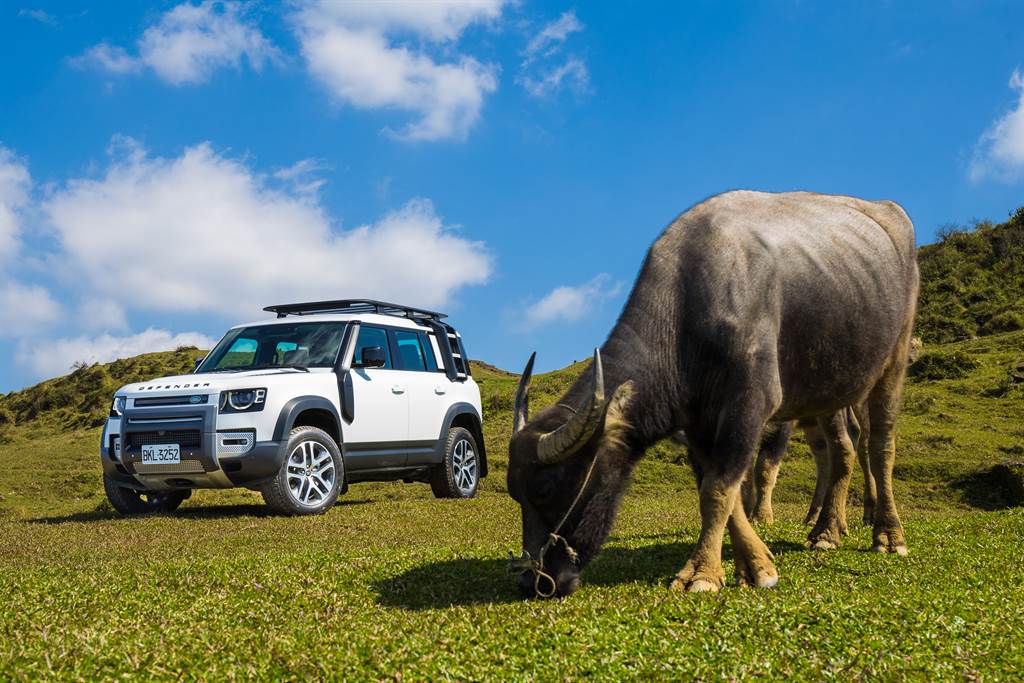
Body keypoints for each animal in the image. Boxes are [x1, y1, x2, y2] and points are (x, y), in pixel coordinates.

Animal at [507, 189, 917, 593]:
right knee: (842, 449)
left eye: (547, 489)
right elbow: (718, 488)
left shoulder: (749, 406)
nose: (532, 579)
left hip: (894, 359)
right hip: (830, 385)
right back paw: (827, 530)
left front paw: (702, 572)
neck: (685, 317)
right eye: (516, 493)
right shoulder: (698, 422)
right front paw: (754, 564)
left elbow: (719, 488)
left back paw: (886, 534)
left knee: (879, 445)